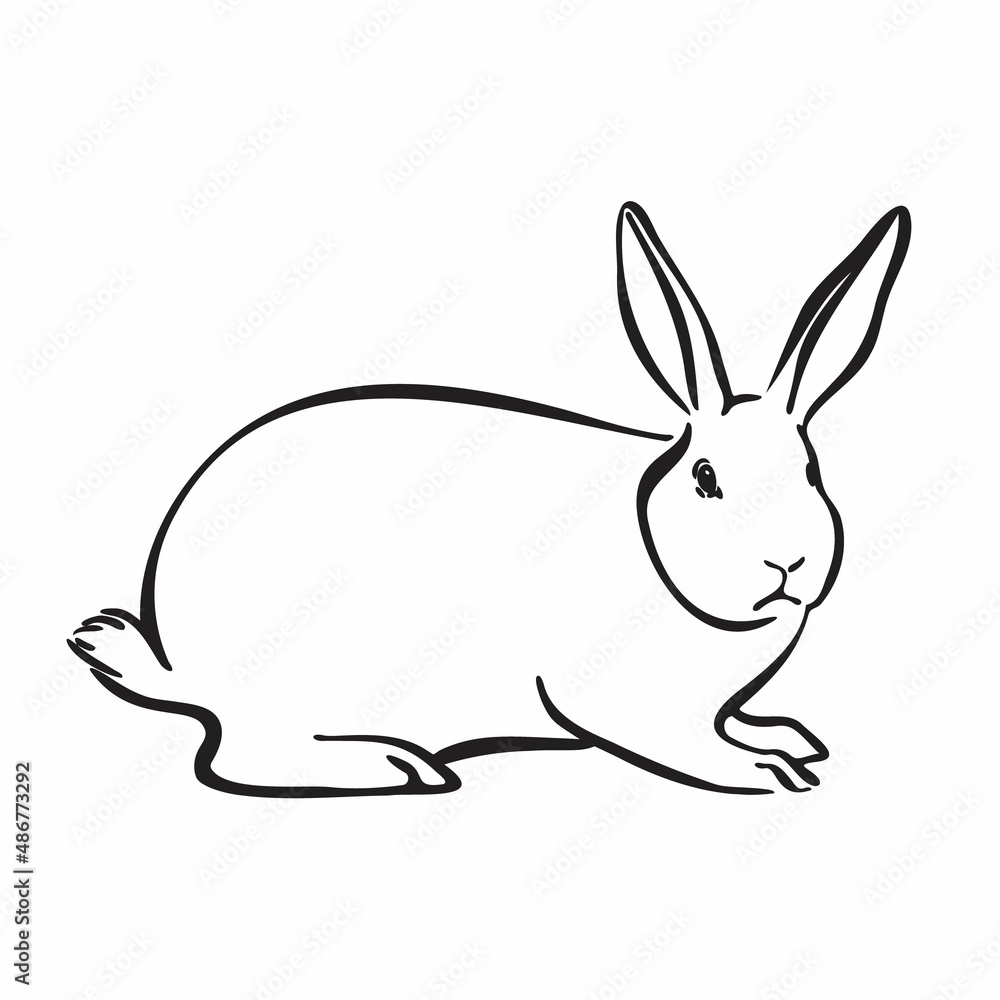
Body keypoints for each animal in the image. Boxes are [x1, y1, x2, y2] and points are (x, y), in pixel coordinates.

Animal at [68, 201, 910, 798]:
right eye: (706, 477)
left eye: (811, 471)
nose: (788, 563)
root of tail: (181, 669)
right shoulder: (626, 706)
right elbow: (688, 746)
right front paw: (770, 771)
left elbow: (737, 723)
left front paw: (786, 737)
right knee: (244, 761)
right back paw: (396, 767)